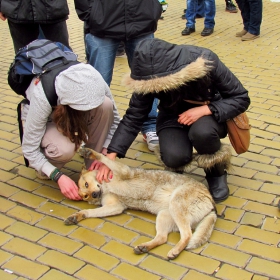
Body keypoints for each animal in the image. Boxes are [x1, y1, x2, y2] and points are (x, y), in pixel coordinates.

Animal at [64, 148, 218, 260]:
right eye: (85, 196)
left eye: (86, 184)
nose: (94, 195)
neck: (106, 187)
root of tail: (211, 203)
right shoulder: (115, 206)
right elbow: (89, 213)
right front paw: (77, 215)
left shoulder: (123, 171)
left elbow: (104, 157)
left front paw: (89, 152)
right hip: (164, 215)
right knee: (163, 238)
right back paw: (145, 247)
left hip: (176, 205)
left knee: (187, 235)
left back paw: (174, 251)